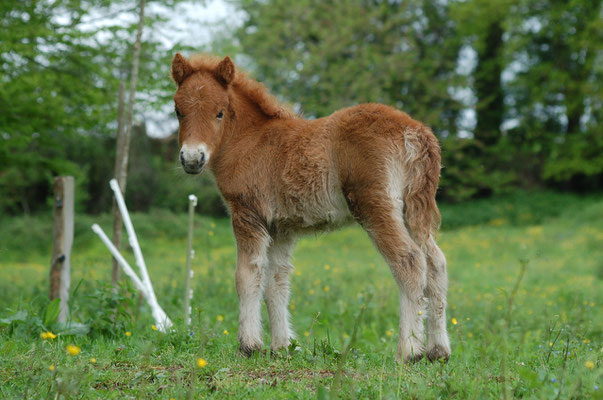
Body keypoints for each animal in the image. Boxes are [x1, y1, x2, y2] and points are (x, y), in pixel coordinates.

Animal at [172, 53, 450, 362]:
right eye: (178, 110)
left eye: (219, 112)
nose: (192, 158)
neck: (251, 140)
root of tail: (415, 131)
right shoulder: (280, 227)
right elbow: (277, 282)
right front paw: (281, 347)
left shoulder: (247, 213)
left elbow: (246, 275)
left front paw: (249, 346)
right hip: (414, 211)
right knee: (436, 264)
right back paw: (438, 351)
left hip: (375, 206)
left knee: (410, 261)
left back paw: (409, 352)